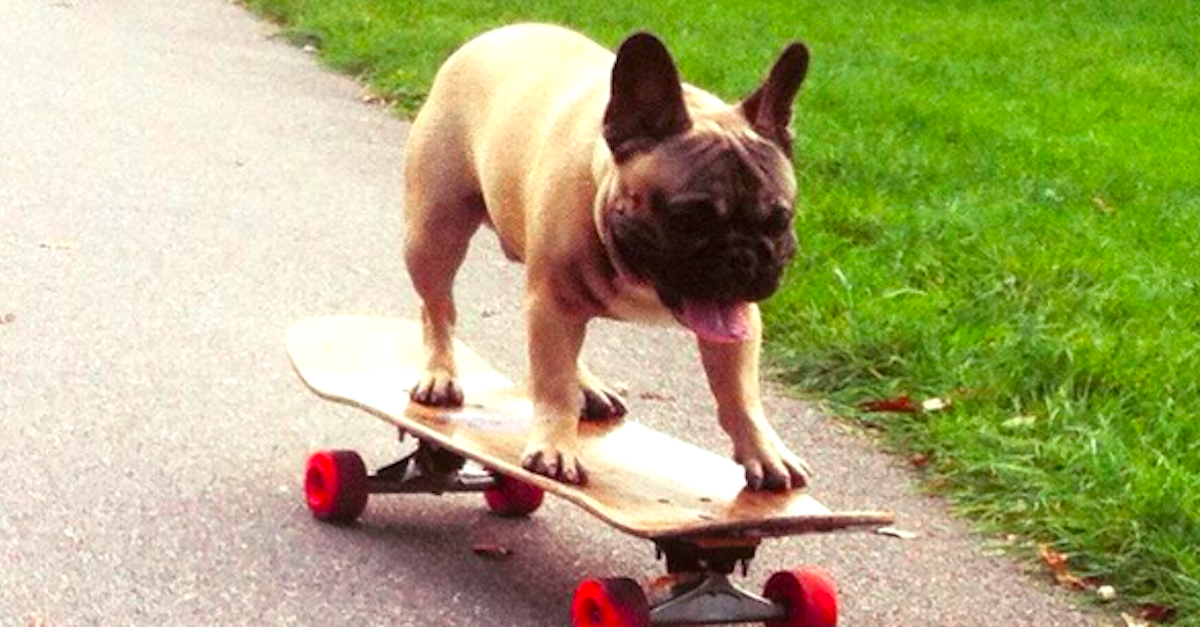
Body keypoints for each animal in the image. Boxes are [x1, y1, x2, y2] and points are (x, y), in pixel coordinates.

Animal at [405, 23, 816, 487]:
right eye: (687, 219)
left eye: (780, 220)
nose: (743, 257)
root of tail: (492, 35)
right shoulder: (553, 302)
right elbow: (554, 383)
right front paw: (555, 448)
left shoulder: (736, 323)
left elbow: (740, 393)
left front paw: (764, 452)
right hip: (434, 235)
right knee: (438, 308)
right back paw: (440, 374)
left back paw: (588, 386)